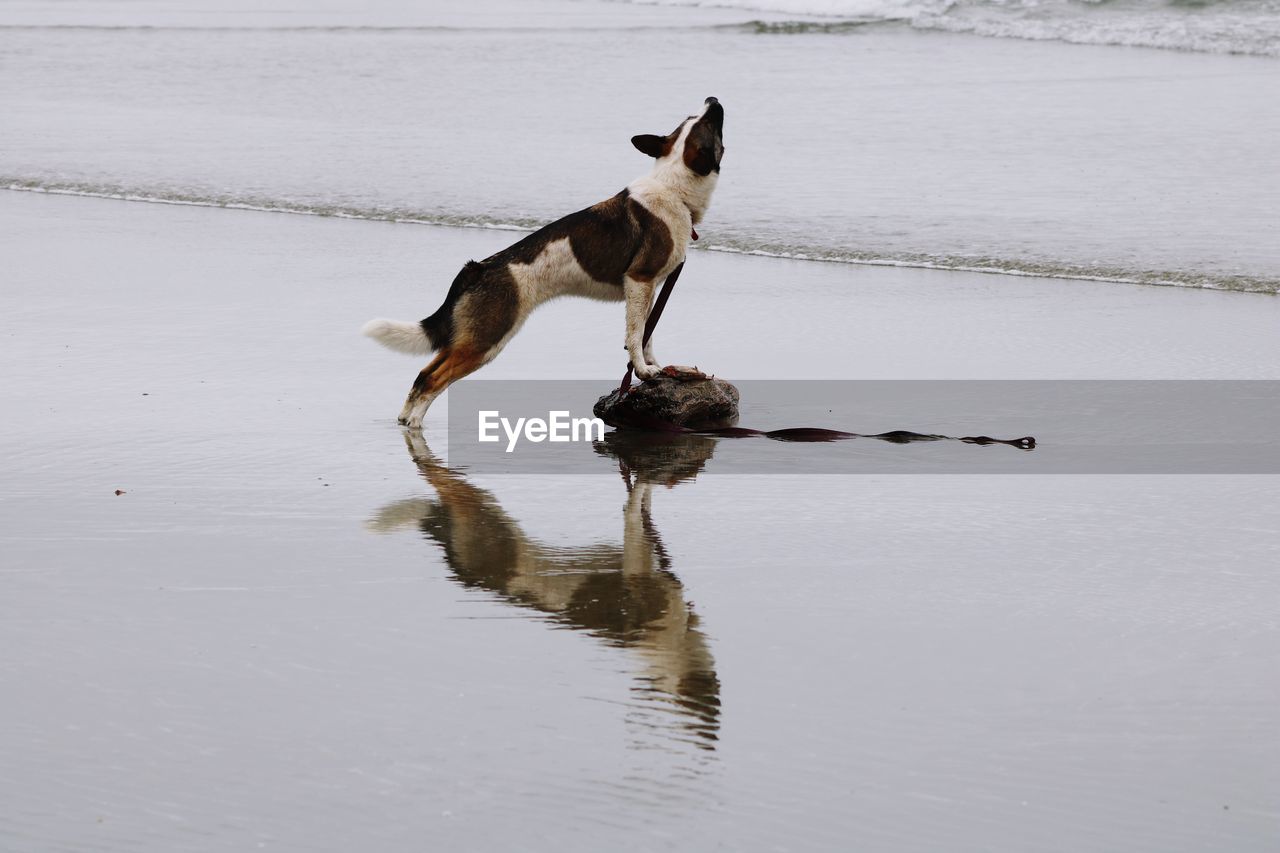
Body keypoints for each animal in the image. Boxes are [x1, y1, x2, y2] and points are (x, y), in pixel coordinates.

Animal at [363, 95, 721, 425]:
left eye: (697, 118)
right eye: (709, 122)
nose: (713, 99)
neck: (672, 187)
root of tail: (478, 269)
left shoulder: (647, 290)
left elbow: (646, 333)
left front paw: (653, 367)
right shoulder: (640, 280)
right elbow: (635, 336)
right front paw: (644, 371)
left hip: (474, 337)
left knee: (425, 373)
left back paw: (406, 420)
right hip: (487, 338)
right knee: (433, 379)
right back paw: (414, 426)